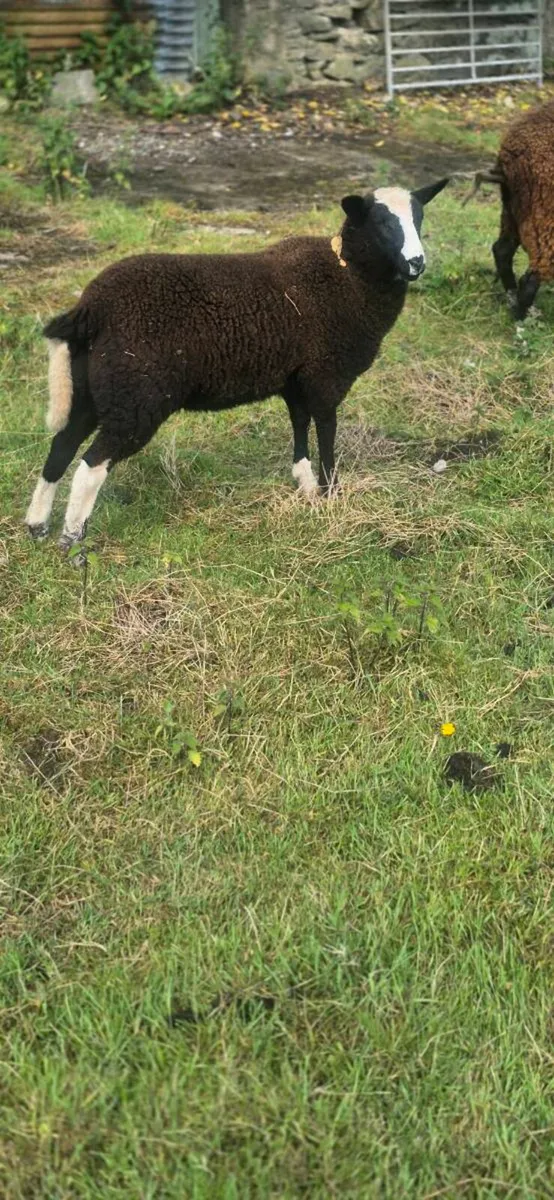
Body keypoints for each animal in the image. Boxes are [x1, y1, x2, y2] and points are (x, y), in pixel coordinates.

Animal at [25, 178, 448, 548]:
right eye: (381, 222)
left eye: (420, 217)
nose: (417, 263)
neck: (349, 277)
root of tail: (91, 307)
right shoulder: (327, 374)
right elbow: (327, 431)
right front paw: (331, 494)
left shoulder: (296, 378)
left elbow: (300, 424)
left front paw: (306, 484)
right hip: (136, 394)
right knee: (91, 465)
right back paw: (72, 539)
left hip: (92, 388)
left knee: (61, 447)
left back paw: (37, 526)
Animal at [464, 100, 554, 320]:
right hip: (544, 214)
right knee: (530, 278)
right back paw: (521, 316)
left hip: (514, 211)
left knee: (502, 250)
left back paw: (512, 299)